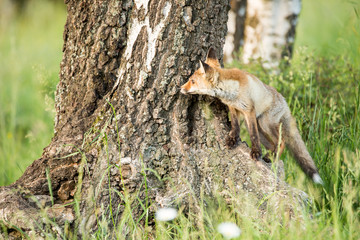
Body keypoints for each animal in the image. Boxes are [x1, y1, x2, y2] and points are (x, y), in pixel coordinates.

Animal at [180, 48, 324, 184]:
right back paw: (269, 157)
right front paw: (232, 139)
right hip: (260, 127)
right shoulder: (233, 108)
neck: (231, 90)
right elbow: (235, 126)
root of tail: (284, 102)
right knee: (272, 144)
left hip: (265, 123)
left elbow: (252, 135)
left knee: (281, 141)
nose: (180, 88)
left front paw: (255, 152)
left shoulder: (249, 110)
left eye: (192, 81)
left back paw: (273, 157)